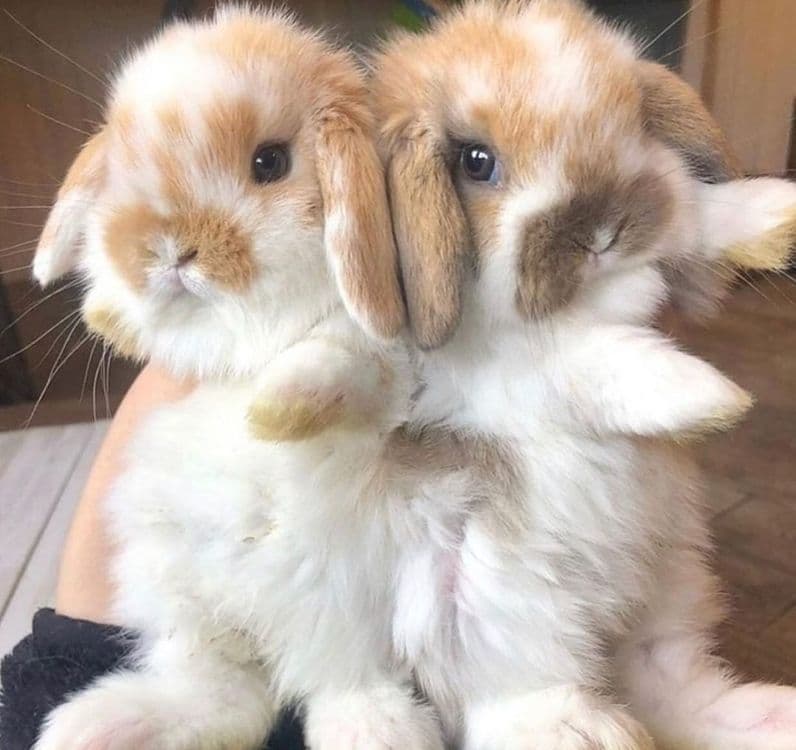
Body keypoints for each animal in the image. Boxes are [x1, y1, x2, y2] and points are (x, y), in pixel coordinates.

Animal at [28, 7, 450, 750]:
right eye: (125, 166)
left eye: (269, 162)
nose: (167, 250)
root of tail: (265, 626)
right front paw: (109, 315)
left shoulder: (384, 361)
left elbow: (343, 357)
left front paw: (269, 411)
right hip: (174, 590)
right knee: (228, 693)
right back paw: (100, 725)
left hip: (352, 608)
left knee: (337, 684)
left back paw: (378, 730)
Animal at [372, 1, 796, 749]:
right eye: (476, 162)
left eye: (632, 122)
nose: (603, 231)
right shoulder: (484, 378)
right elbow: (576, 364)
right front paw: (706, 395)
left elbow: (694, 213)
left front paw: (776, 211)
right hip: (492, 613)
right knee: (523, 696)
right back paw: (584, 729)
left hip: (673, 586)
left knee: (677, 693)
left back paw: (771, 719)